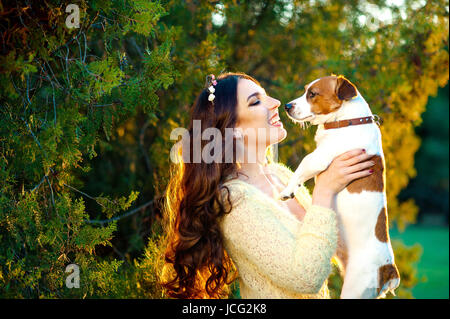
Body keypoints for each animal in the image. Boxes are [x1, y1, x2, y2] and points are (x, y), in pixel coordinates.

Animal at [282, 75, 400, 300]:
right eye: (305, 90)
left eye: (313, 94)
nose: (287, 106)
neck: (346, 121)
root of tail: (388, 269)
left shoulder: (320, 157)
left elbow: (303, 163)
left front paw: (288, 189)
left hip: (356, 287)